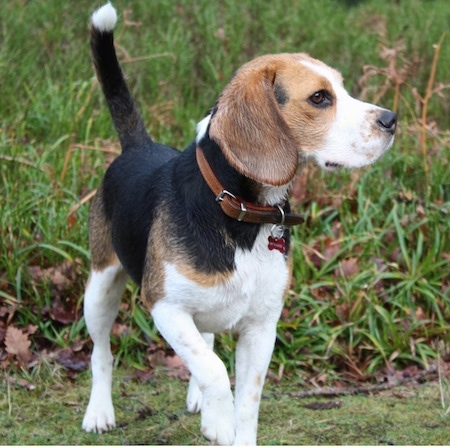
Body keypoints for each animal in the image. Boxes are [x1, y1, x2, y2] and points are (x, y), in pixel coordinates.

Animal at [82, 2, 396, 444]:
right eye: (319, 97)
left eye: (342, 88)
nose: (391, 119)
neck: (241, 214)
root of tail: (138, 147)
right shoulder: (164, 306)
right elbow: (214, 369)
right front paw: (218, 421)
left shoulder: (262, 327)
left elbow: (247, 398)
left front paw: (228, 421)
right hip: (100, 288)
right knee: (102, 352)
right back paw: (99, 411)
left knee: (207, 338)